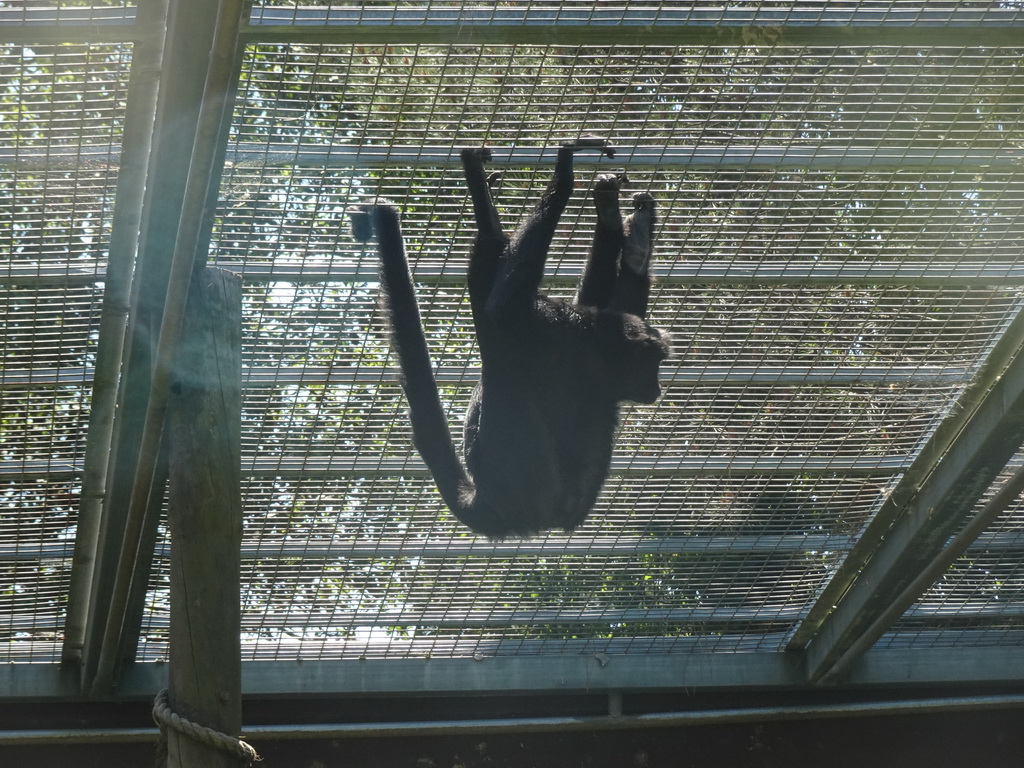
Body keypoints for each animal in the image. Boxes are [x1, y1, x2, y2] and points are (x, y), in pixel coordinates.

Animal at [352, 141, 671, 540]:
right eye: (654, 365)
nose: (657, 386)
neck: (589, 348)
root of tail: (491, 505)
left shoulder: (559, 326)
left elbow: (502, 307)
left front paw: (585, 195)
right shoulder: (555, 324)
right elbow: (508, 307)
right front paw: (574, 185)